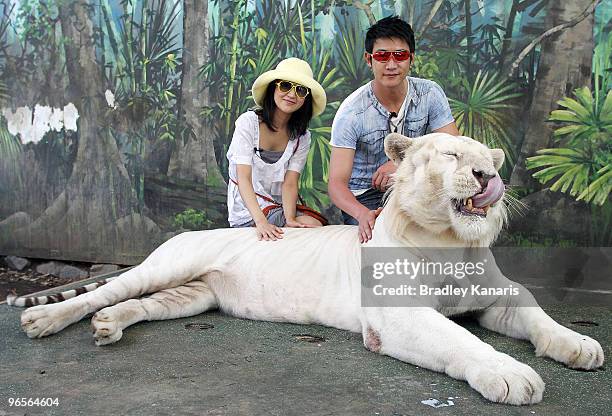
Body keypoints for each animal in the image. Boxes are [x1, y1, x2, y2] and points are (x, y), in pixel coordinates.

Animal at [13, 134, 604, 406]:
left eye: (484, 156)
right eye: (453, 156)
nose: (486, 175)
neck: (451, 243)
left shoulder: (499, 294)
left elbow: (538, 315)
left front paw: (579, 346)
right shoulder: (399, 314)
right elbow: (461, 339)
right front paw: (510, 374)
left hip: (192, 295)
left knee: (135, 305)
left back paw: (108, 327)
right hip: (168, 264)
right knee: (103, 291)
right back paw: (45, 321)